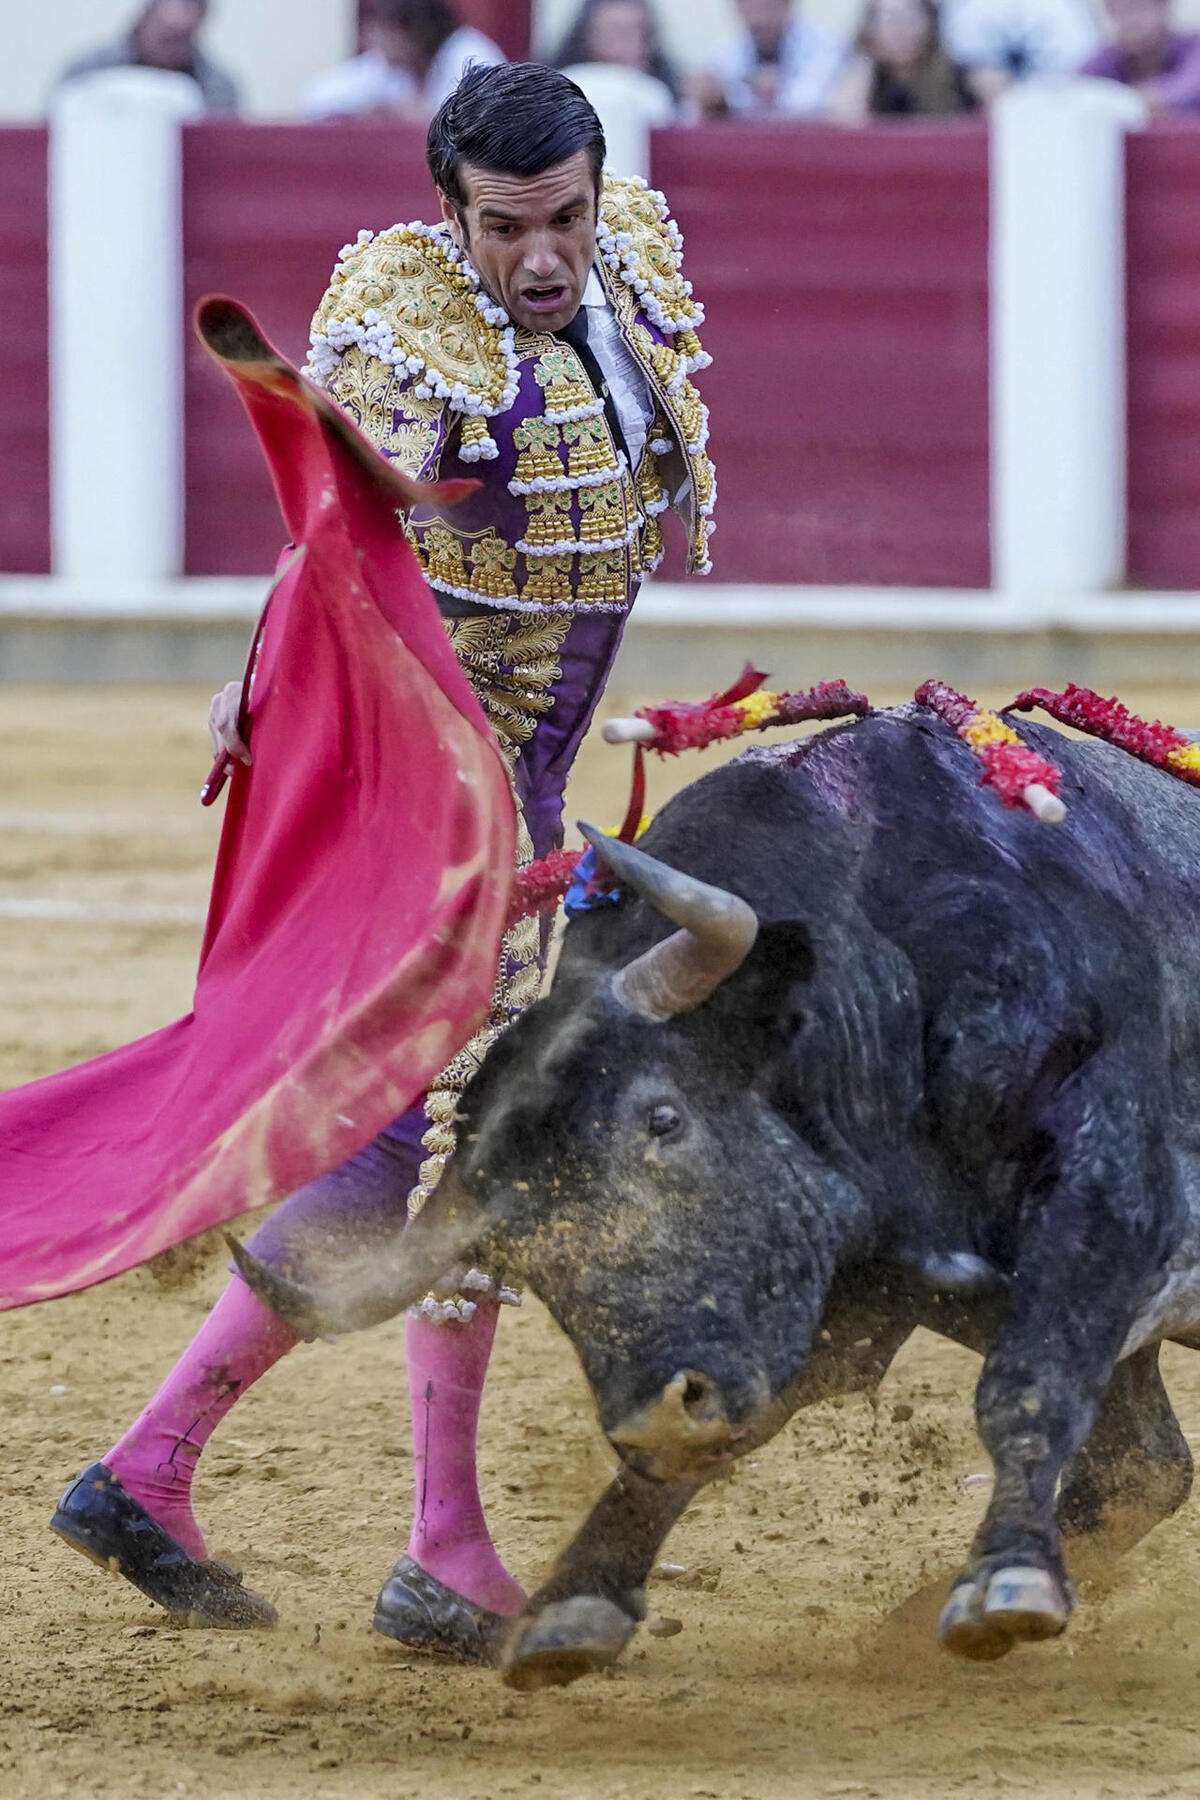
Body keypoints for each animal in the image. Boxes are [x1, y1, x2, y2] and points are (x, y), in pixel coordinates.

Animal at [233, 712, 1200, 1684]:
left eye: (664, 1118)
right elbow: (749, 1418)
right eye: (517, 1256)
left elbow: (1028, 1382)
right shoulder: (830, 1291)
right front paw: (574, 1604)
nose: (658, 1421)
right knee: (1145, 1467)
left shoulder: (1110, 1198)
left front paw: (1005, 1579)